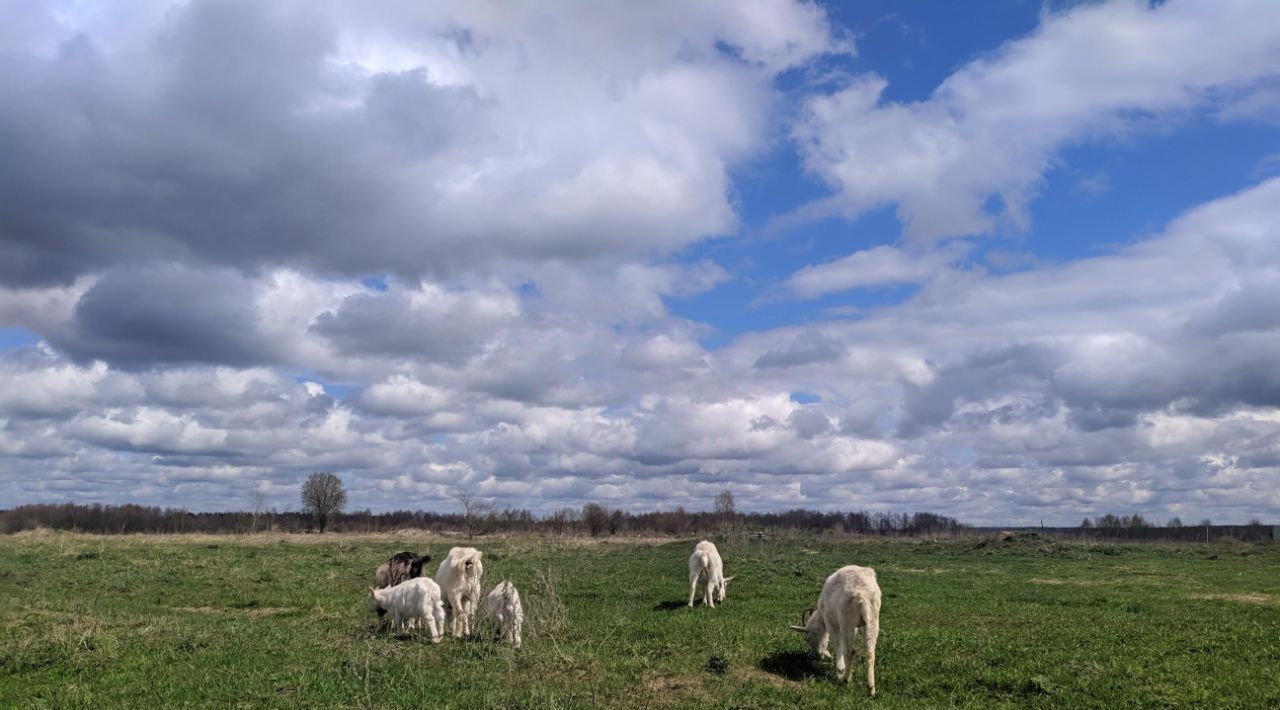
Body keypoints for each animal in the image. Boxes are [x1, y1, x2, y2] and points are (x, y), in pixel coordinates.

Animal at [788, 562, 880, 695]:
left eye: (807, 639)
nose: (818, 657)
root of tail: (863, 596)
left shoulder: (831, 622)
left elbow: (838, 643)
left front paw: (839, 671)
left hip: (847, 622)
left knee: (851, 651)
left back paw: (846, 679)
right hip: (873, 621)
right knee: (870, 653)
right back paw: (871, 688)